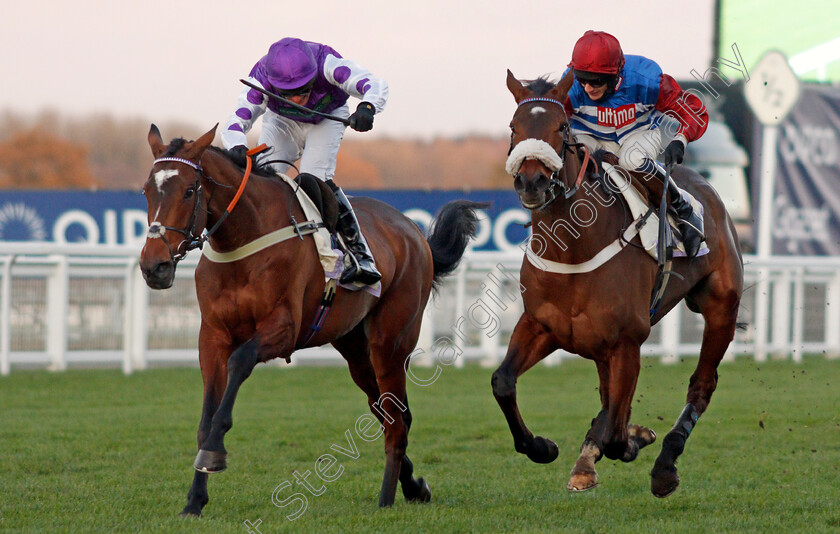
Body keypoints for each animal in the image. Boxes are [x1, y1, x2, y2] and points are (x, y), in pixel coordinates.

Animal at [143, 123, 486, 516]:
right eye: (146, 190)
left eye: (188, 190)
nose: (154, 266)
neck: (244, 239)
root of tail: (414, 232)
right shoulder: (212, 336)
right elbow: (206, 415)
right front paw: (194, 500)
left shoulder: (283, 329)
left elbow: (239, 363)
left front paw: (214, 453)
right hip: (355, 349)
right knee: (386, 411)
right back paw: (414, 486)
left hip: (391, 342)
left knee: (395, 419)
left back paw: (386, 498)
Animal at [496, 71, 744, 498]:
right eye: (514, 127)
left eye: (561, 127)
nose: (532, 182)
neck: (573, 250)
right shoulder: (541, 326)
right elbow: (503, 382)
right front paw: (542, 447)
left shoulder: (626, 341)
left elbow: (615, 433)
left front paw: (632, 441)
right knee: (609, 397)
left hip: (720, 308)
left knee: (701, 384)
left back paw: (664, 465)